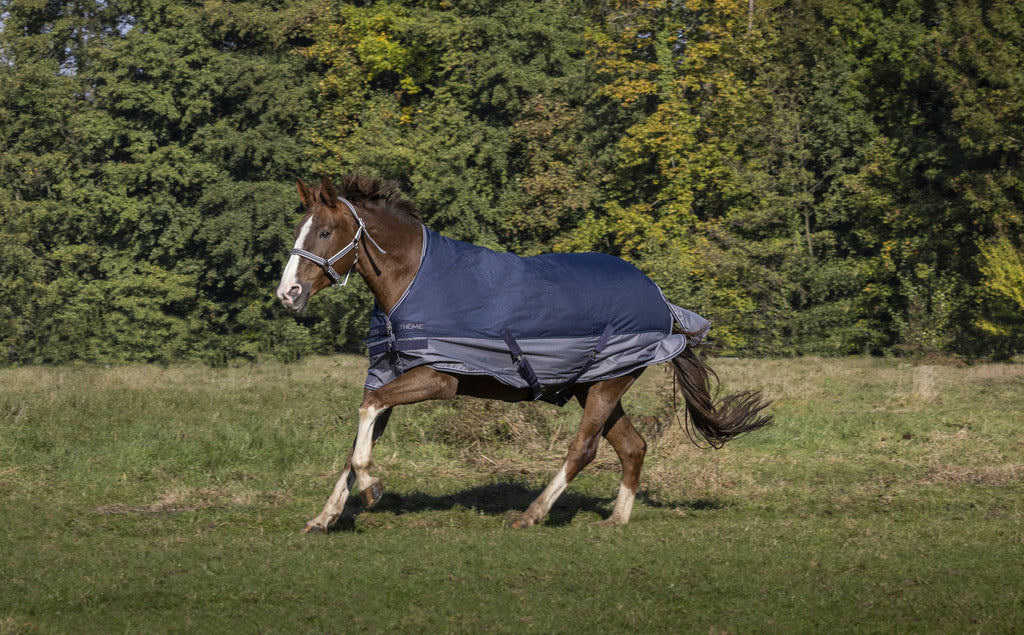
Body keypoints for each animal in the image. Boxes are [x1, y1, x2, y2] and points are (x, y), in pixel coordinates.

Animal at [274, 175, 770, 532]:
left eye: (324, 231)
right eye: (300, 230)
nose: (288, 293)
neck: (412, 281)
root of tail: (662, 303)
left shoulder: (437, 379)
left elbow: (366, 416)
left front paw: (373, 488)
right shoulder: (389, 375)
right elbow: (359, 436)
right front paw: (324, 517)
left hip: (607, 386)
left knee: (583, 449)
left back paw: (532, 514)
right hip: (595, 386)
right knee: (633, 447)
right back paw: (616, 519)